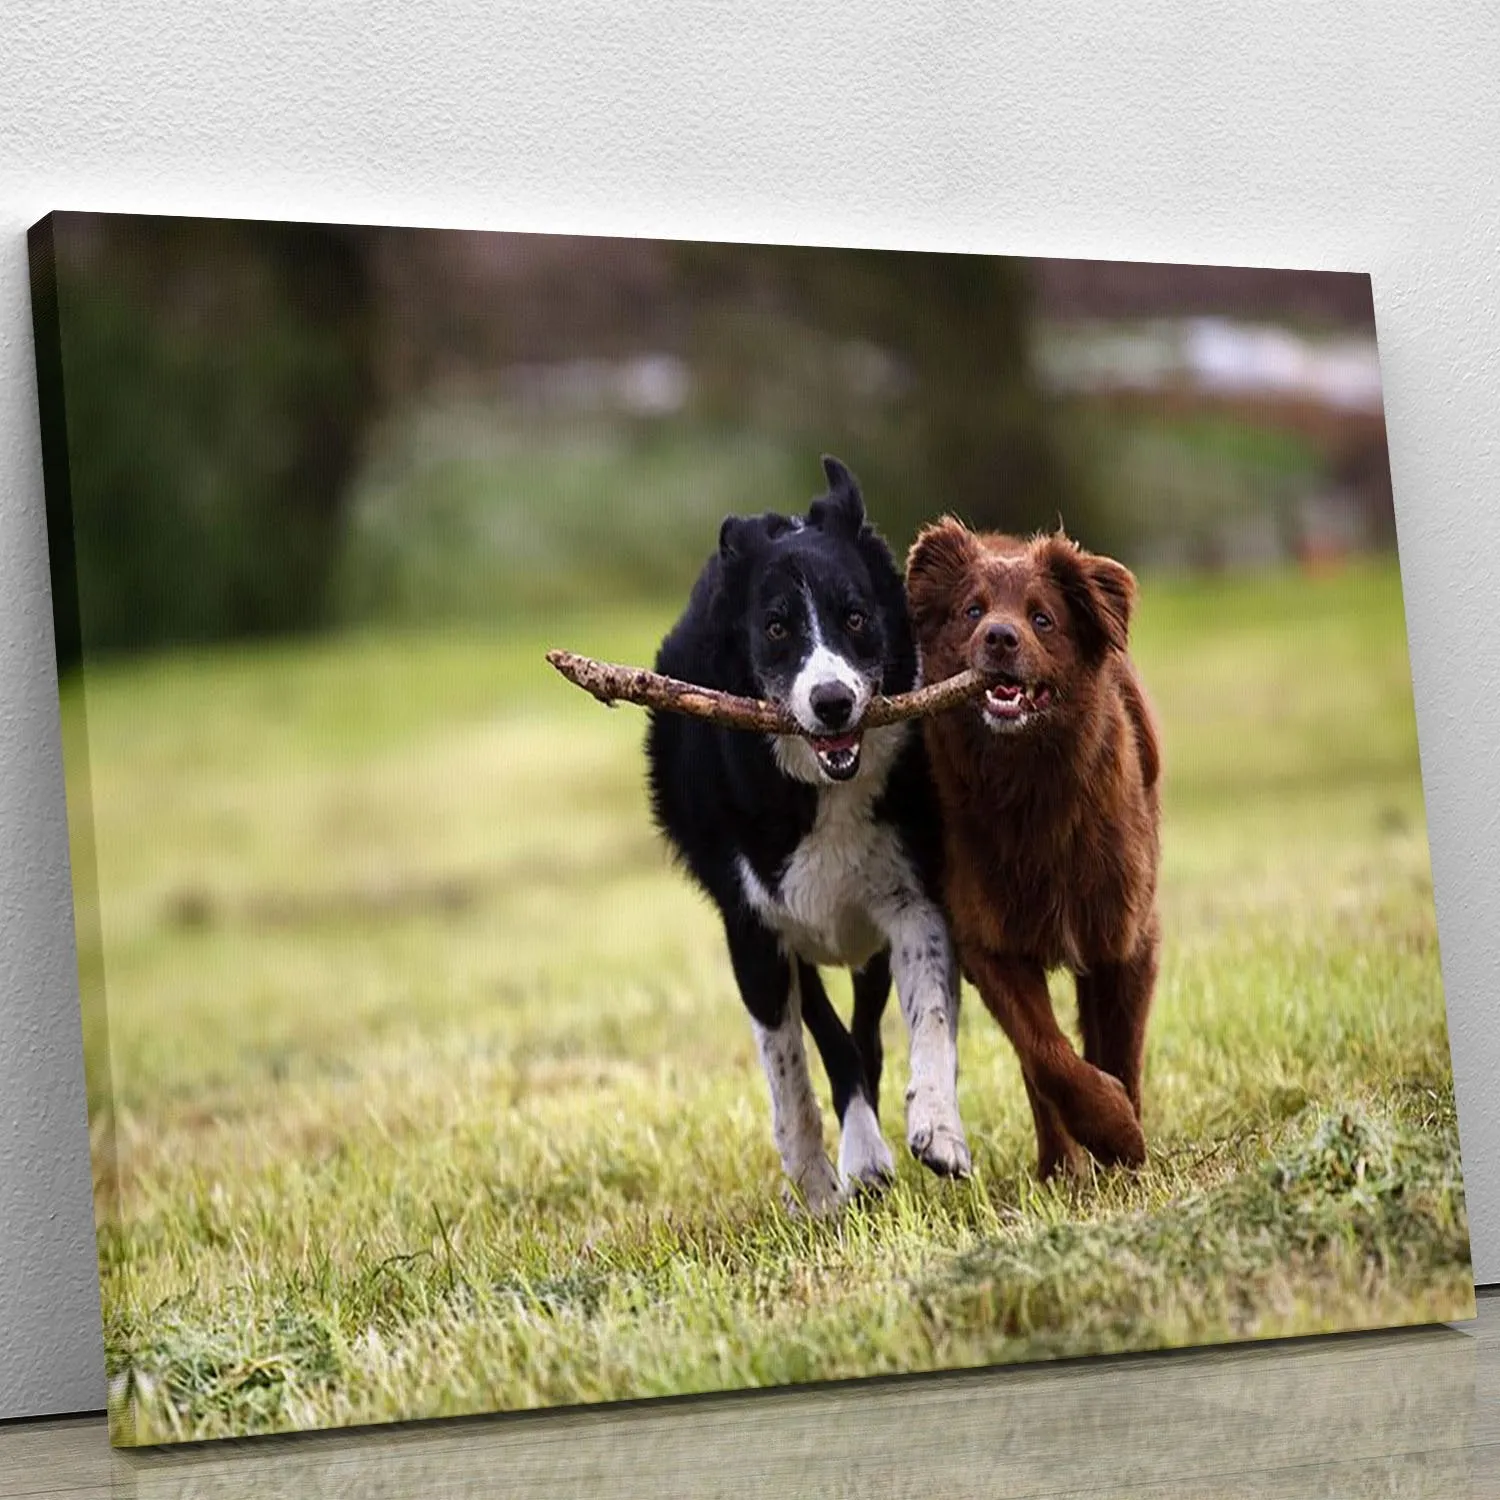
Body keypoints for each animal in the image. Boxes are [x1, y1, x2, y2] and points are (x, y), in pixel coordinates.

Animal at [645, 453, 972, 1206]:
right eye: (776, 628)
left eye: (855, 617)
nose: (832, 702)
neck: (824, 791)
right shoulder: (755, 929)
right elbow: (790, 1062)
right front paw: (819, 1183)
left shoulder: (914, 899)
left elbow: (930, 1020)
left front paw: (938, 1127)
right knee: (831, 1038)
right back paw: (859, 1163)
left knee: (867, 1034)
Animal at [900, 522, 1158, 1176]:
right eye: (972, 611)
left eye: (1042, 619)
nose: (999, 636)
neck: (1033, 790)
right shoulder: (989, 941)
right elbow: (1046, 1055)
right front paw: (1109, 1130)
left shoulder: (1126, 934)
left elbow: (1120, 1047)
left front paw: (1128, 1143)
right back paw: (1057, 1165)